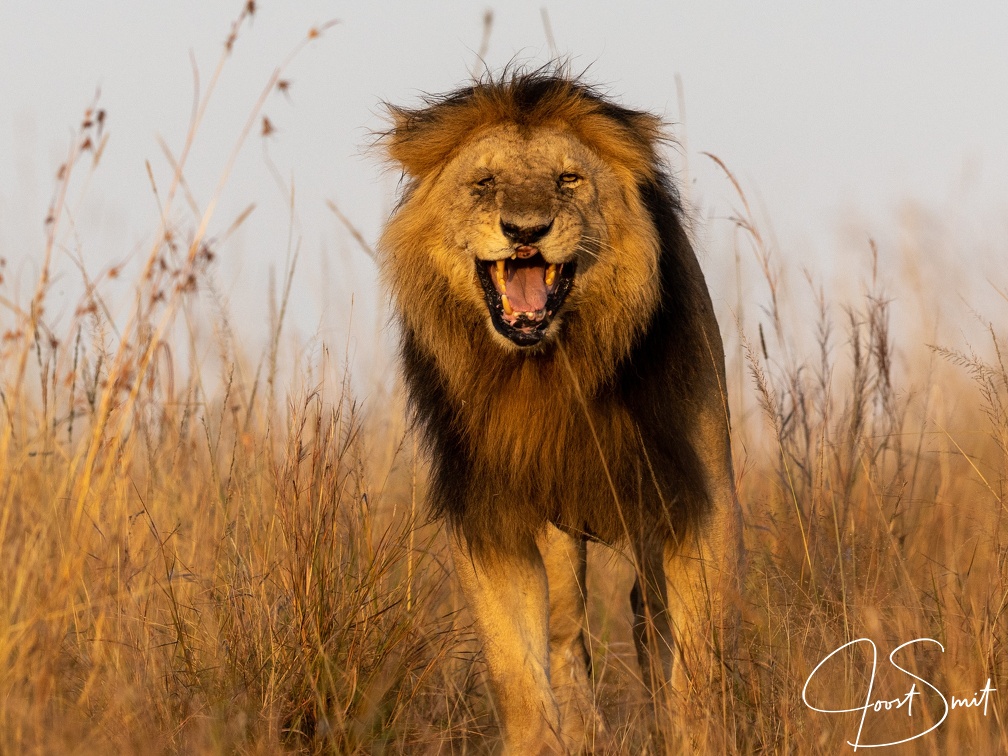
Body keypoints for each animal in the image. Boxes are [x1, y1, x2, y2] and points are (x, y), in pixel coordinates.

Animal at [378, 69, 744, 754]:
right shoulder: (491, 516)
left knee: (648, 619)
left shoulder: (698, 499)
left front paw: (695, 735)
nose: (525, 231)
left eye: (568, 180)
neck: (549, 371)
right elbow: (517, 671)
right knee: (568, 633)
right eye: (484, 183)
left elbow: (697, 666)